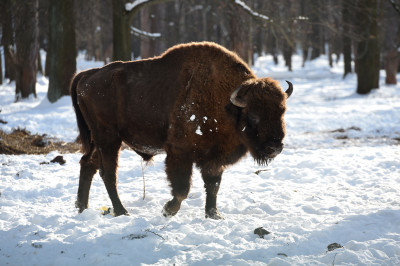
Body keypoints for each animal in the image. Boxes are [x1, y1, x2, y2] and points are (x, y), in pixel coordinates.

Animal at [70, 41, 292, 219]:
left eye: (282, 111)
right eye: (253, 115)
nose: (275, 147)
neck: (227, 105)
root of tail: (87, 75)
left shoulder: (214, 158)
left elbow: (213, 186)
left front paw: (214, 215)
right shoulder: (180, 153)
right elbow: (182, 188)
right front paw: (168, 210)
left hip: (100, 141)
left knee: (87, 165)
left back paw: (82, 207)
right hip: (108, 139)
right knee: (108, 173)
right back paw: (121, 211)